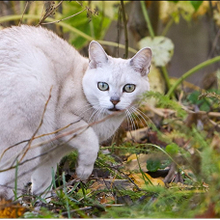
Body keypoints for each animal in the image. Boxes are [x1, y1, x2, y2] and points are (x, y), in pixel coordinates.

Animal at [0, 24, 151, 200]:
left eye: (129, 88)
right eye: (103, 86)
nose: (114, 101)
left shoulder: (51, 153)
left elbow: (43, 182)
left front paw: (45, 202)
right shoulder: (65, 120)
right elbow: (91, 141)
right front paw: (84, 171)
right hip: (28, 142)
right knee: (7, 187)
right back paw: (15, 205)